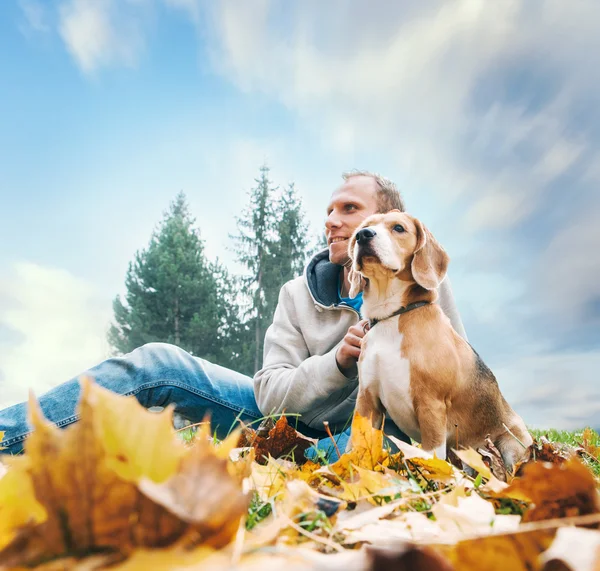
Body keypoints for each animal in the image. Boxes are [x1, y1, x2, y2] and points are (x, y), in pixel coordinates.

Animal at [350, 212, 532, 472]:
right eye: (365, 226)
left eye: (398, 228)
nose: (362, 235)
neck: (392, 316)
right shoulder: (367, 402)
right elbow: (355, 450)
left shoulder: (431, 405)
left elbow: (431, 457)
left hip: (512, 445)